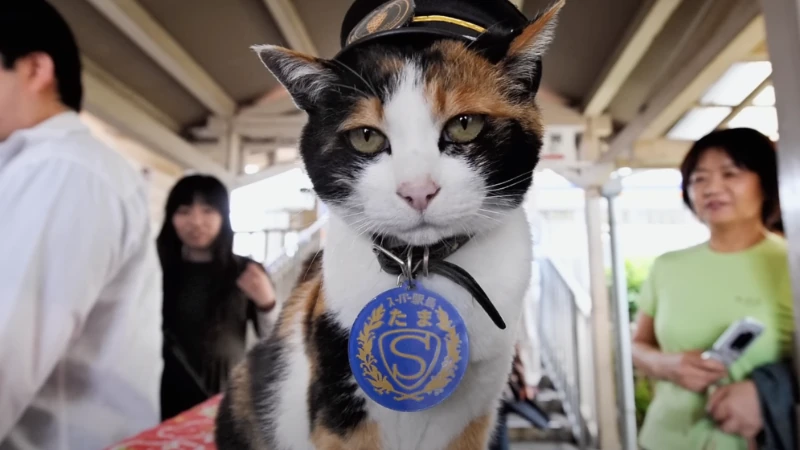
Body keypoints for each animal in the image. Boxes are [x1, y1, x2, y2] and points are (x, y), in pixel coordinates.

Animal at [214, 0, 564, 450]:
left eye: (465, 125)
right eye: (366, 137)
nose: (418, 190)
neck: (421, 264)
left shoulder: (475, 410)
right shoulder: (338, 401)